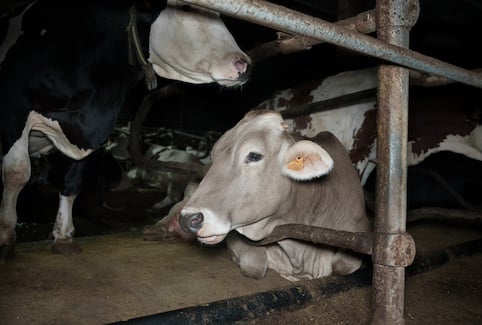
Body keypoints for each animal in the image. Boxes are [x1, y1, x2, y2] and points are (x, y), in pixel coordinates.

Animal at [1, 0, 252, 260]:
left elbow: (72, 182)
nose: (244, 64)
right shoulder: (14, 109)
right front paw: (7, 238)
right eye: (187, 9)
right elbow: (17, 173)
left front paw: (63, 237)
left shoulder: (88, 138)